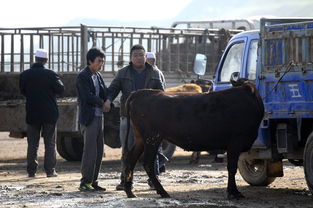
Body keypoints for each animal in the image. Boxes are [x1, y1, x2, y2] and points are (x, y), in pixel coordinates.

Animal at [122, 81, 264, 200]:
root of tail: (141, 92)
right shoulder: (236, 142)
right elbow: (232, 168)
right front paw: (233, 192)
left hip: (141, 139)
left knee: (131, 159)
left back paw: (130, 192)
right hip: (152, 138)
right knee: (147, 163)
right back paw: (162, 191)